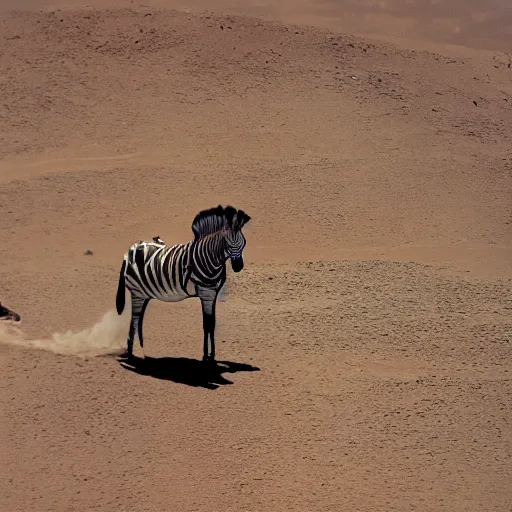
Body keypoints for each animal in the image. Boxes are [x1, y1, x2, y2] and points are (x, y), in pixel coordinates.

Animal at [116, 202, 252, 362]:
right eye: (227, 243)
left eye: (244, 243)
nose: (238, 267)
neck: (210, 259)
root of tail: (130, 250)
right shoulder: (206, 293)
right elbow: (207, 324)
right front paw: (206, 356)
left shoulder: (213, 293)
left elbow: (212, 323)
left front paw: (211, 355)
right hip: (136, 292)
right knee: (134, 320)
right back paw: (131, 354)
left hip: (144, 294)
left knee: (138, 320)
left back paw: (139, 350)